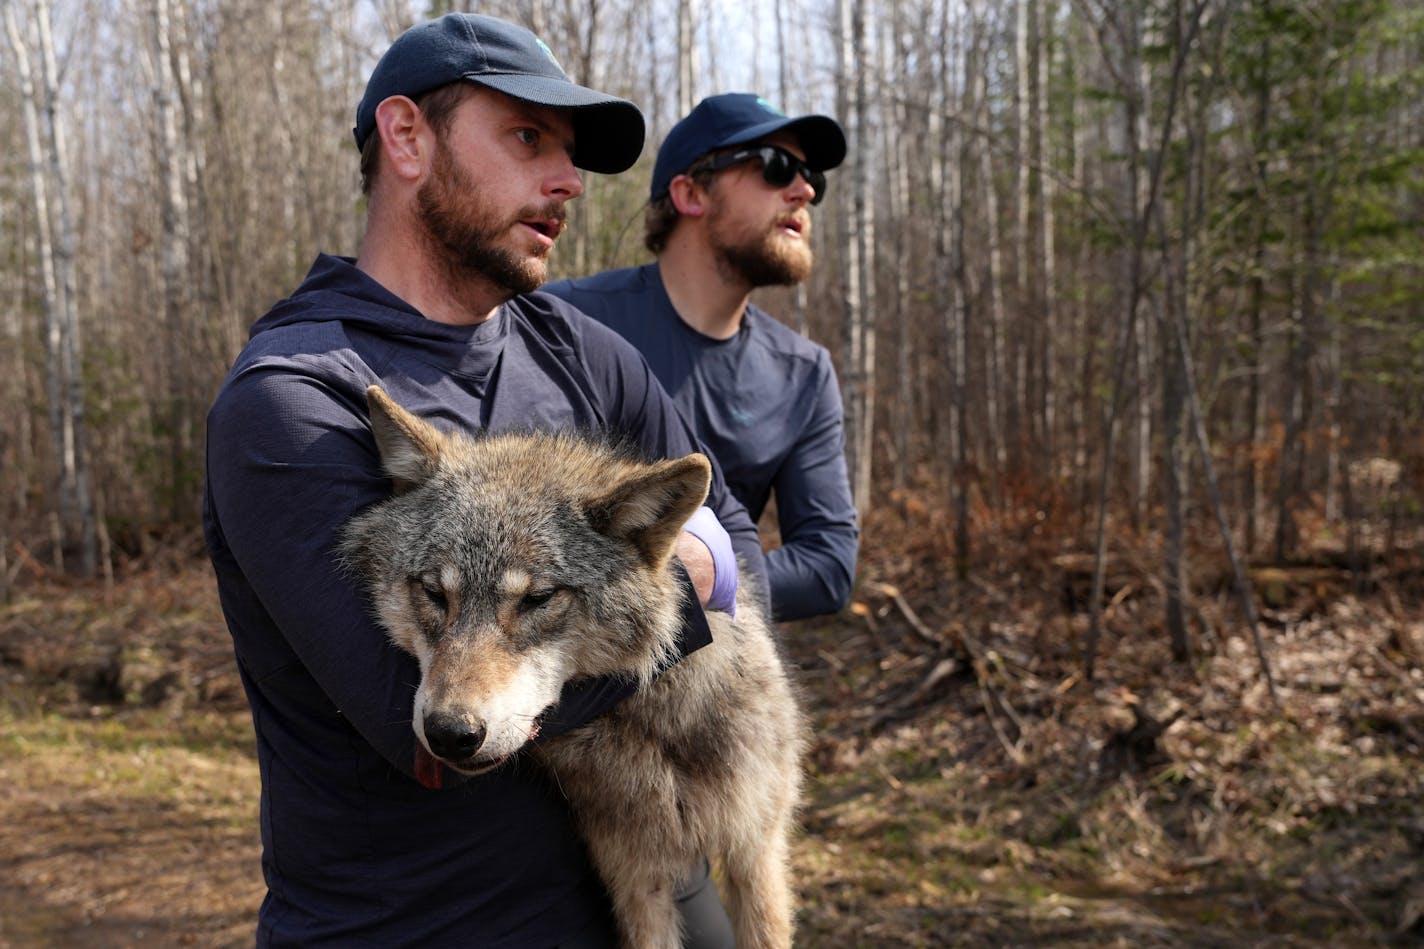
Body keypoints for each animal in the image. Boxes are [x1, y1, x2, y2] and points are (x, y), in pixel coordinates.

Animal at [340, 387, 808, 946]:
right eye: (434, 593)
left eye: (538, 599)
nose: (450, 733)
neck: (652, 729)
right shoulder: (635, 877)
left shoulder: (756, 850)